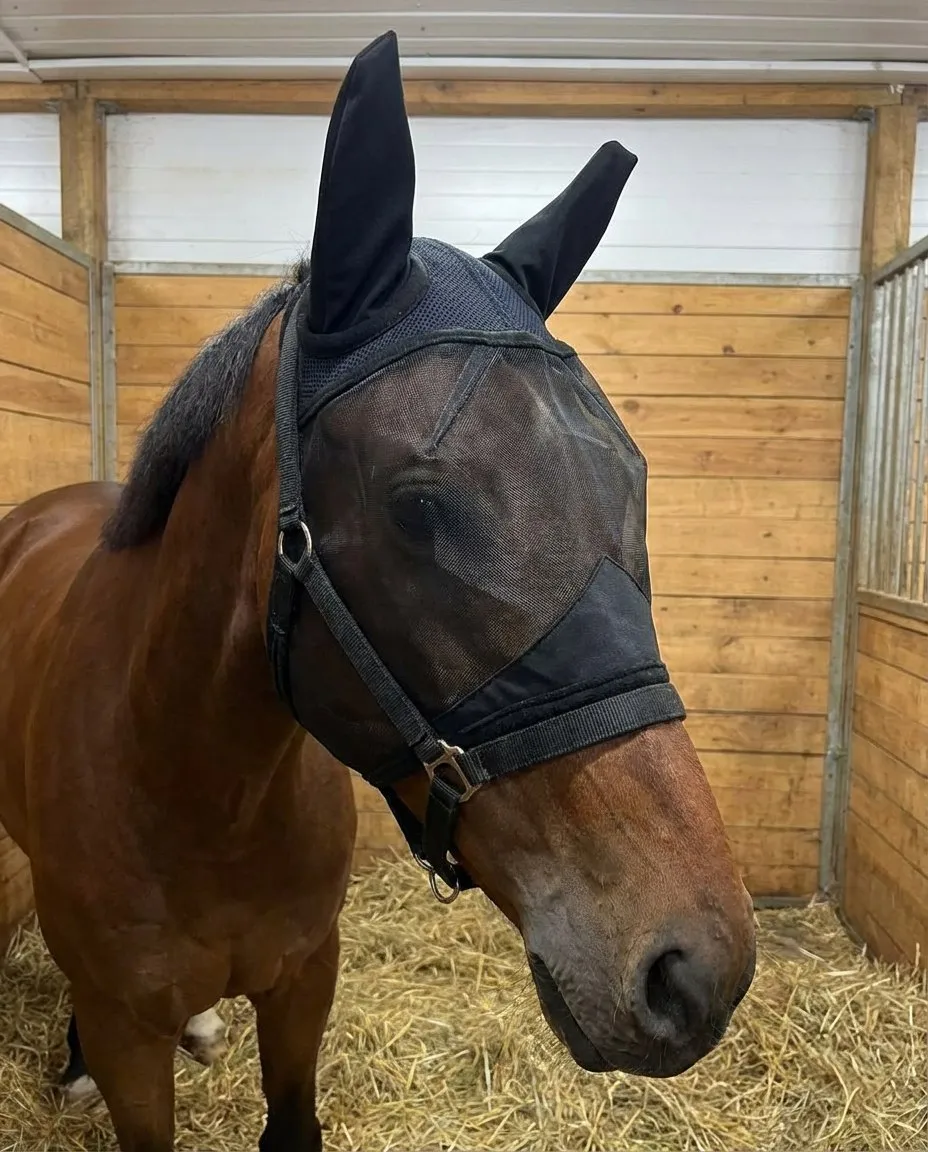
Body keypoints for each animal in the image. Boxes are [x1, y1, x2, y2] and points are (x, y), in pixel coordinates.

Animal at [0, 30, 756, 1152]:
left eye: (631, 478)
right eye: (417, 504)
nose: (696, 971)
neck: (198, 789)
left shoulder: (305, 982)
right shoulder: (131, 1031)